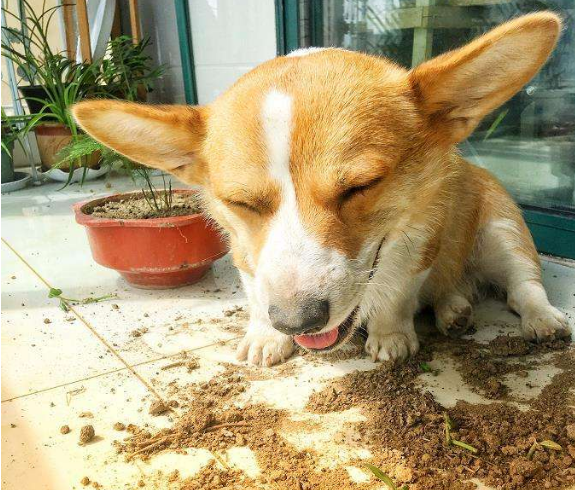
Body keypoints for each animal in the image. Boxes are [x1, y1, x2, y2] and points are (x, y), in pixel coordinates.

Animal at [75, 13, 572, 366]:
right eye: (240, 203)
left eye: (362, 186)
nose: (297, 323)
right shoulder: (245, 250)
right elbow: (255, 291)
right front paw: (265, 336)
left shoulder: (420, 243)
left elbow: (398, 293)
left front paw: (391, 336)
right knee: (455, 289)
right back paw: (454, 311)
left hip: (502, 232)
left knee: (522, 285)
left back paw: (541, 320)